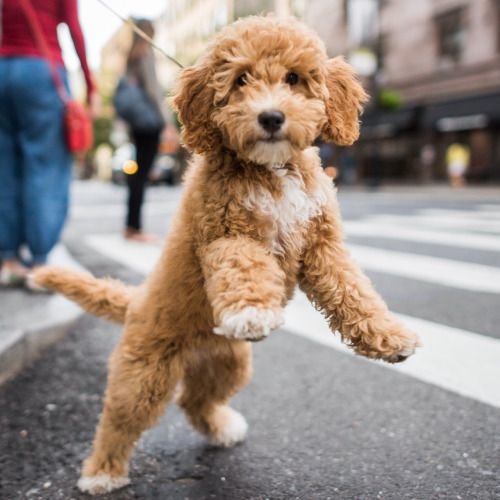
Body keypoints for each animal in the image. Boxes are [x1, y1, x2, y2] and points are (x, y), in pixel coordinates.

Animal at [33, 15, 420, 496]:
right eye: (240, 80)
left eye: (294, 78)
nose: (270, 117)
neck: (273, 169)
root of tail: (137, 301)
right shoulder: (225, 233)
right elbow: (244, 267)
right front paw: (252, 312)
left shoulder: (321, 246)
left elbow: (354, 290)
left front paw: (389, 337)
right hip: (144, 370)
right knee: (121, 418)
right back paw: (102, 472)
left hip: (229, 365)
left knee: (195, 401)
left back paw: (221, 428)